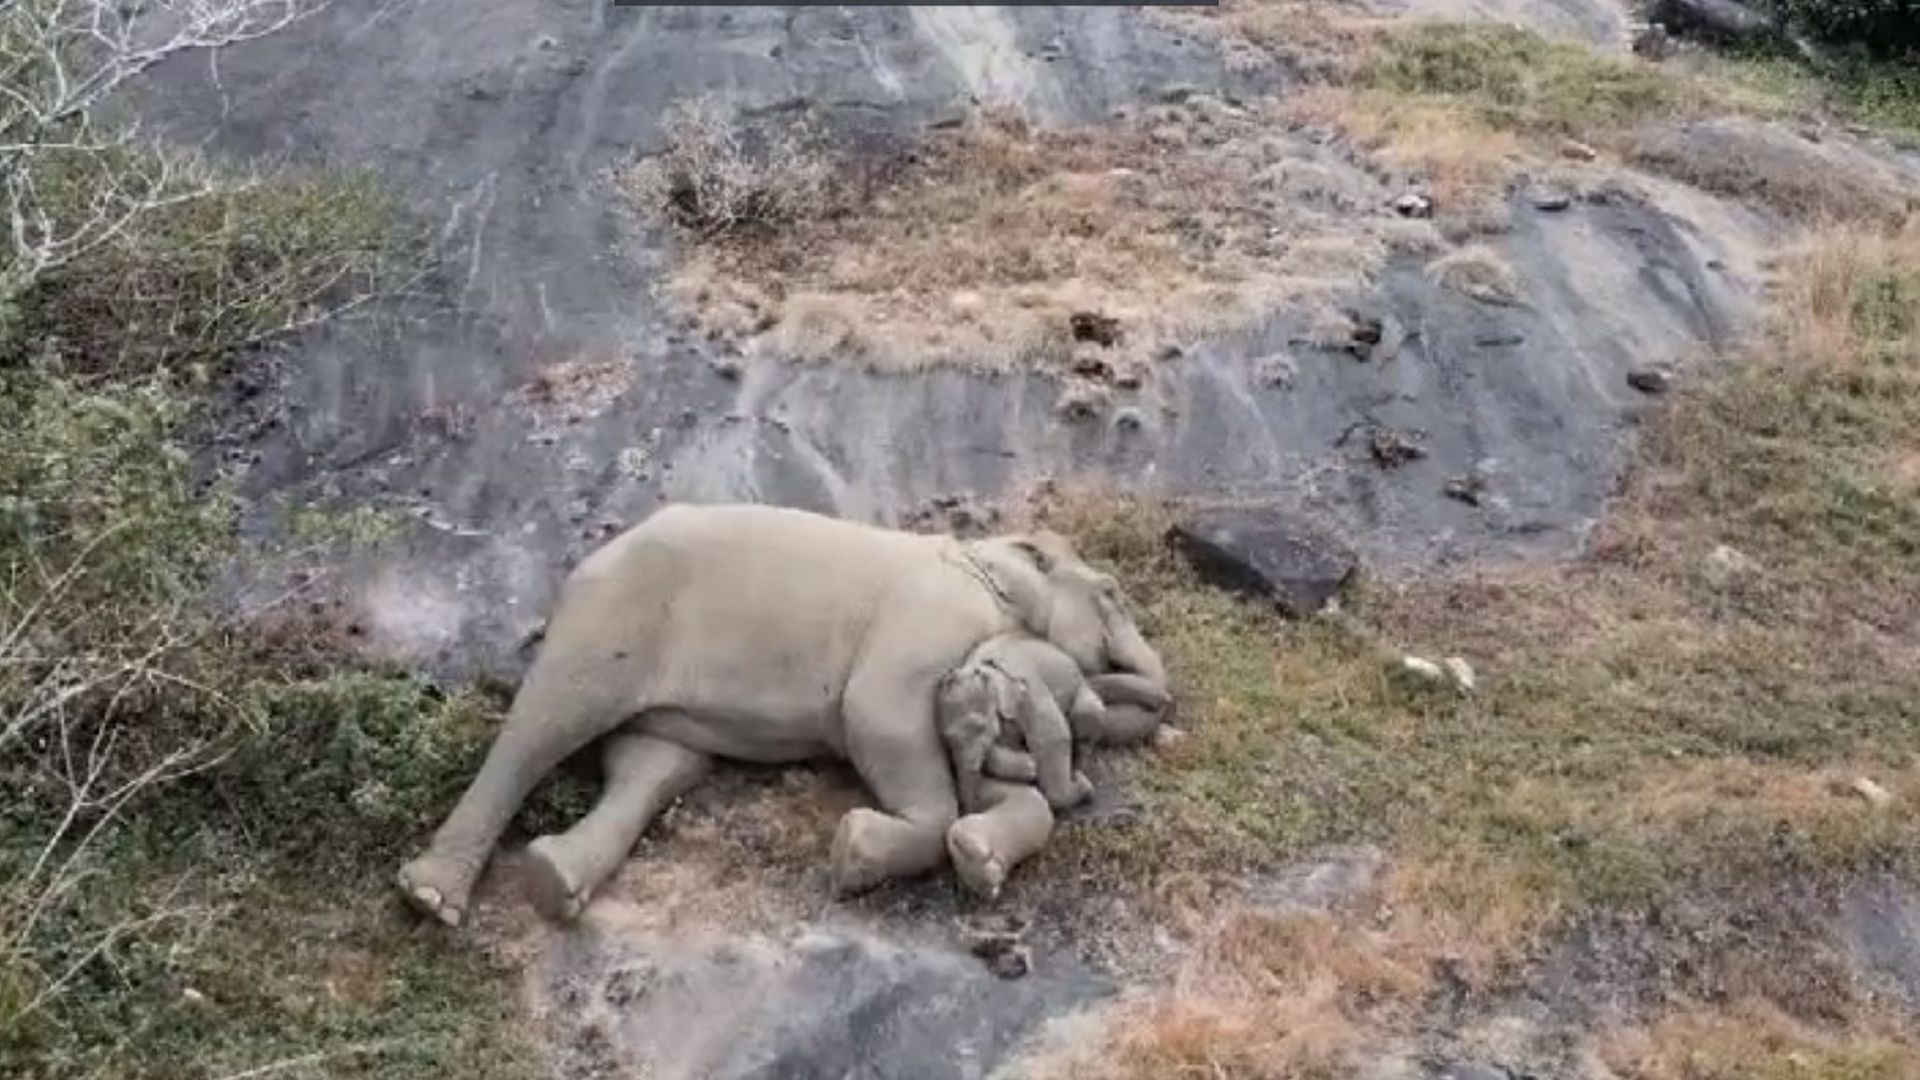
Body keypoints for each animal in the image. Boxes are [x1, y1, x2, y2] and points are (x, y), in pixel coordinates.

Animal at [395, 503, 1169, 926]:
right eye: (1110, 593)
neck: (986, 555)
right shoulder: (929, 617)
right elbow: (878, 713)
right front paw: (854, 852)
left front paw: (979, 857)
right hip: (613, 617)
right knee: (546, 724)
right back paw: (432, 899)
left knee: (653, 766)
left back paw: (552, 882)